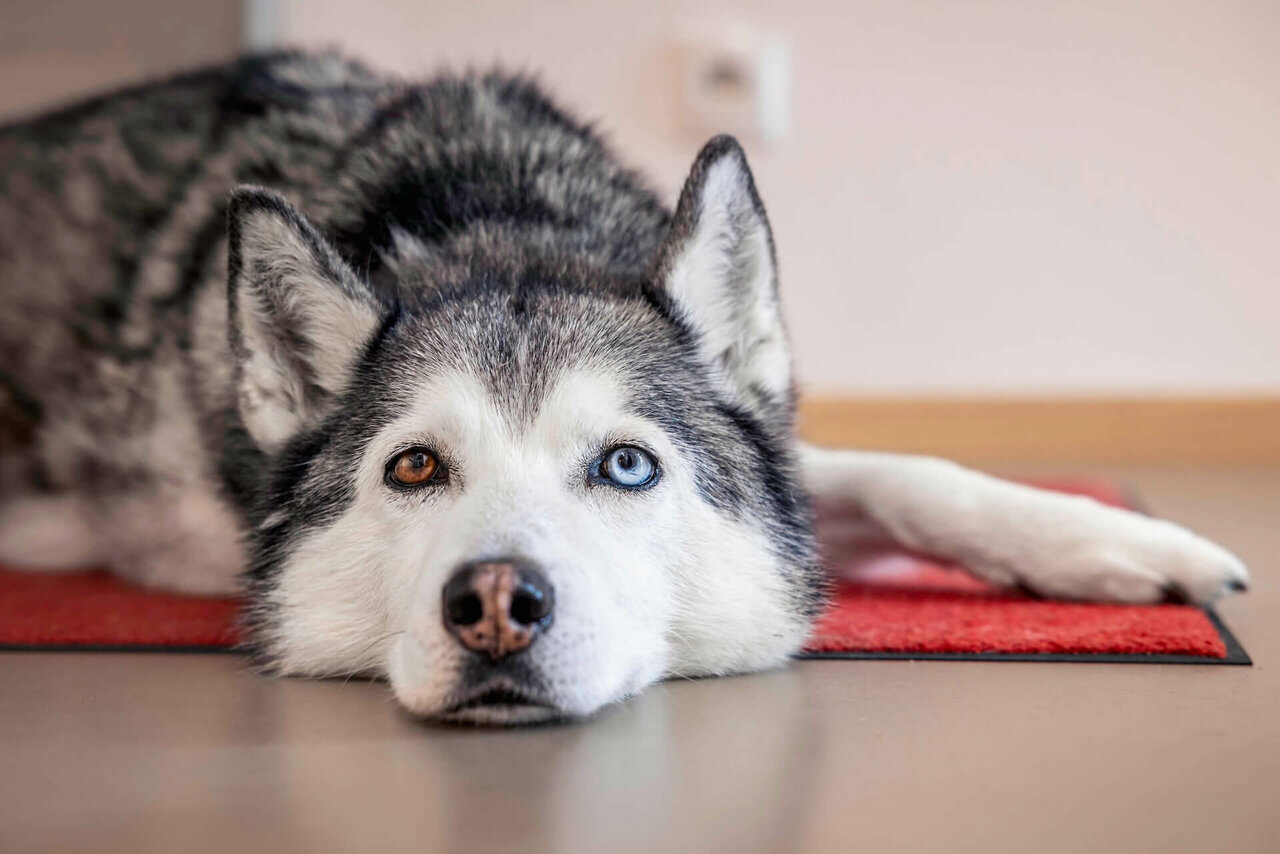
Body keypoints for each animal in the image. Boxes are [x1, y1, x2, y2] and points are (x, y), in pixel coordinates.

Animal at [0, 53, 1239, 722]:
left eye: (627, 463)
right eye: (414, 465)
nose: (497, 600)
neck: (492, 215)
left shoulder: (780, 466)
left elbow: (904, 471)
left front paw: (1115, 544)